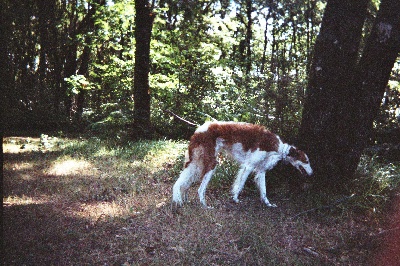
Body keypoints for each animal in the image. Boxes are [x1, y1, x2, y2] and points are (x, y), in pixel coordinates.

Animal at [172, 121, 312, 208]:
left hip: (196, 163)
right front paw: (235, 199)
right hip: (211, 163)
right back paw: (205, 206)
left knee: (183, 183)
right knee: (200, 189)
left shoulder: (261, 170)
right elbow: (240, 185)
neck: (278, 148)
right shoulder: (248, 166)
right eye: (306, 161)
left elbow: (264, 191)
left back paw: (184, 200)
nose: (311, 173)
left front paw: (268, 204)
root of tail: (199, 130)